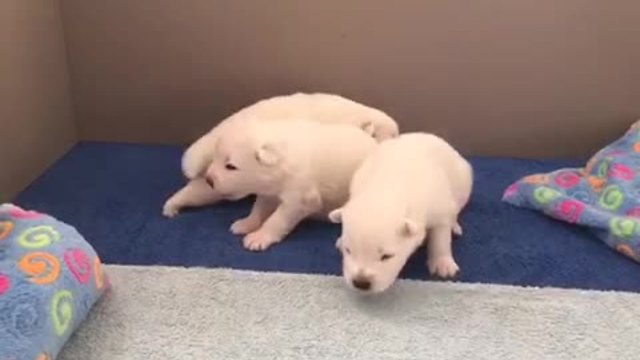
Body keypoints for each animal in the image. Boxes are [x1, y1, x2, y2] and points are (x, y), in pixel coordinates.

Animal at [202, 117, 376, 250]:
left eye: (230, 166)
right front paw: (247, 223)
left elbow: (277, 218)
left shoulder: (300, 197)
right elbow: (259, 208)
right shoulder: (269, 191)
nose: (208, 180)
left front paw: (259, 237)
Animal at [330, 132, 470, 292]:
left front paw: (443, 264)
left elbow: (441, 236)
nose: (361, 283)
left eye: (386, 256)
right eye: (348, 250)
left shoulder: (439, 206)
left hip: (463, 181)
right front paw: (341, 241)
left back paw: (454, 226)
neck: (388, 189)